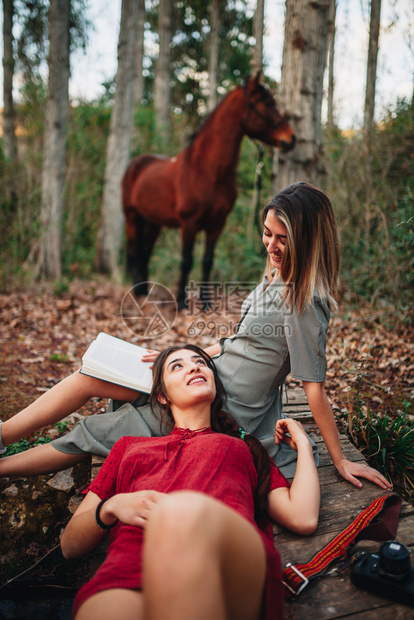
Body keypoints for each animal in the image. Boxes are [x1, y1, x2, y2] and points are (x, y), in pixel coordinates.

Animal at [122, 72, 294, 310]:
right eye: (267, 103)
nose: (291, 139)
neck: (207, 170)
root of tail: (136, 164)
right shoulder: (189, 224)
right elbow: (186, 262)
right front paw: (182, 302)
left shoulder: (217, 224)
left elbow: (207, 261)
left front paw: (205, 303)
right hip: (132, 217)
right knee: (134, 251)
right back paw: (137, 293)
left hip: (154, 222)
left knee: (145, 253)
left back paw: (144, 290)